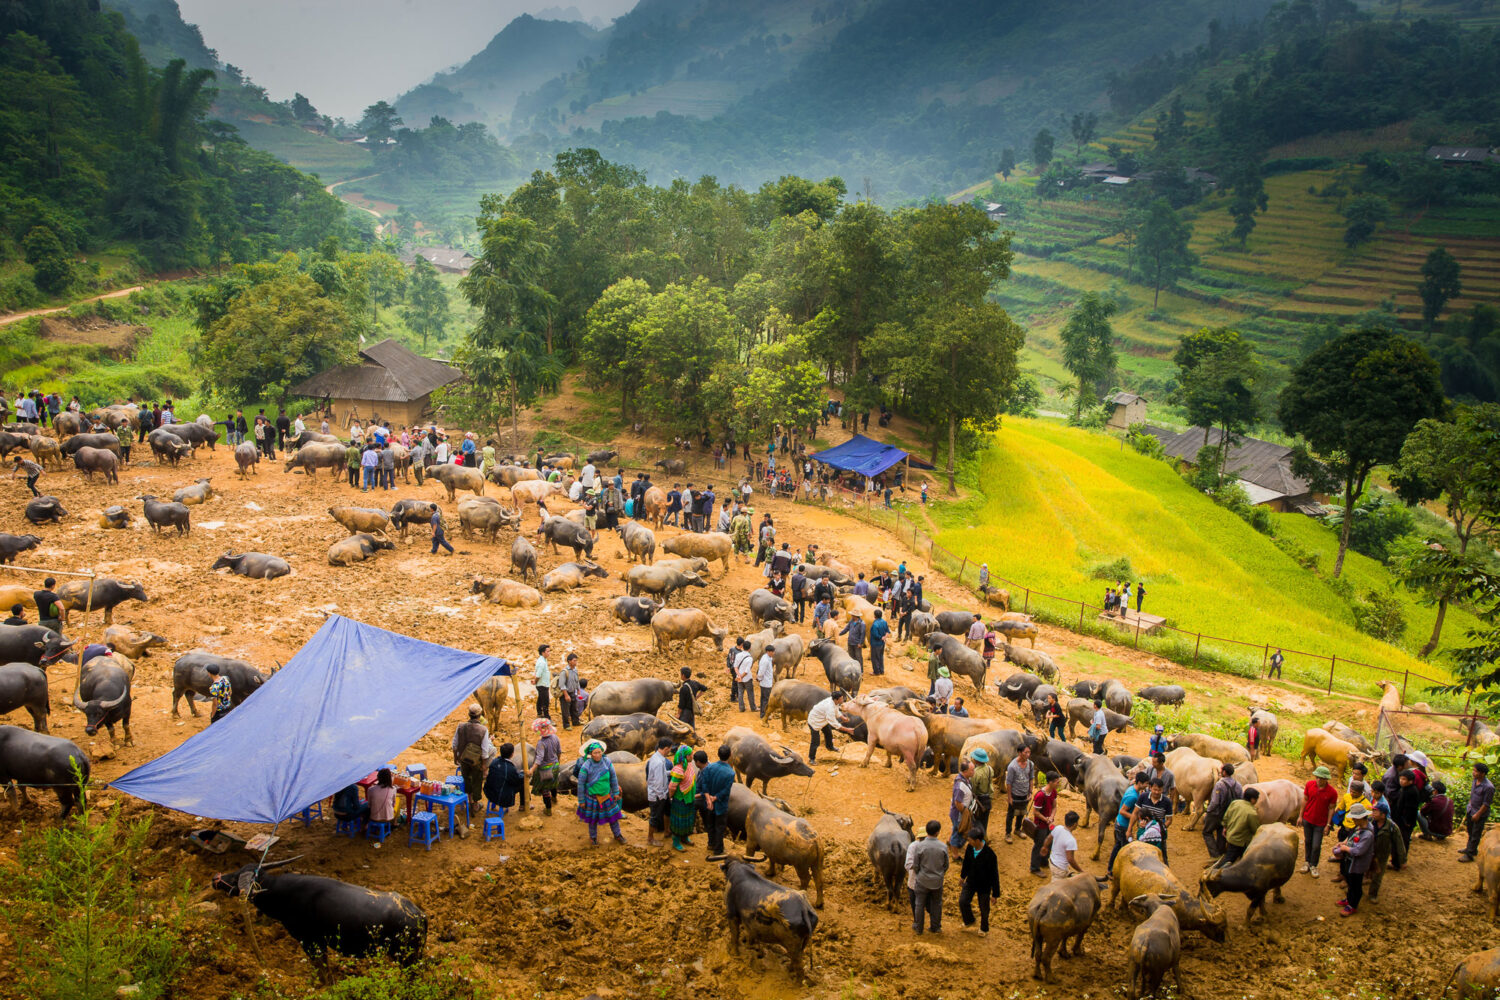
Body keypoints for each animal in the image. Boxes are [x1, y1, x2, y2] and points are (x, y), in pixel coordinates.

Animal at [210, 863, 429, 977]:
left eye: (237, 875)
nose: (215, 879)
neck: (281, 893)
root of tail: (420, 916)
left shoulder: (311, 942)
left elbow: (323, 971)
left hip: (406, 957)